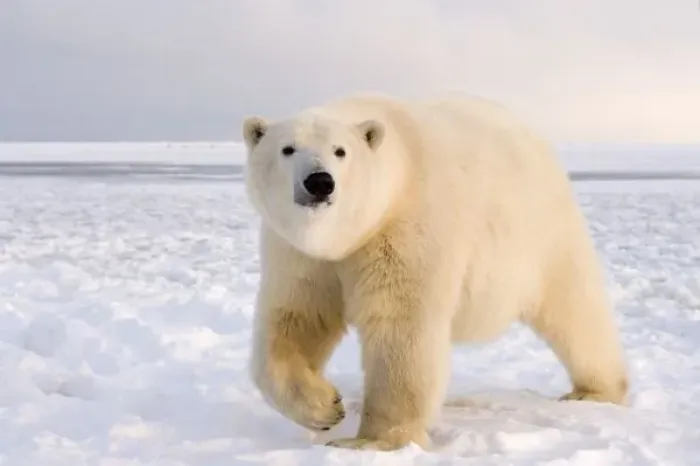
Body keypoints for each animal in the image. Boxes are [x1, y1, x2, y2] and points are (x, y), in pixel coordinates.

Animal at [241, 92, 628, 452]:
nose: (320, 182)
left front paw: (372, 441)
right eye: (288, 149)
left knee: (574, 309)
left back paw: (595, 391)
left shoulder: (406, 229)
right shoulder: (299, 254)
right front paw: (325, 408)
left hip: (543, 234)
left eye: (340, 151)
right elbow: (297, 319)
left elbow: (400, 327)